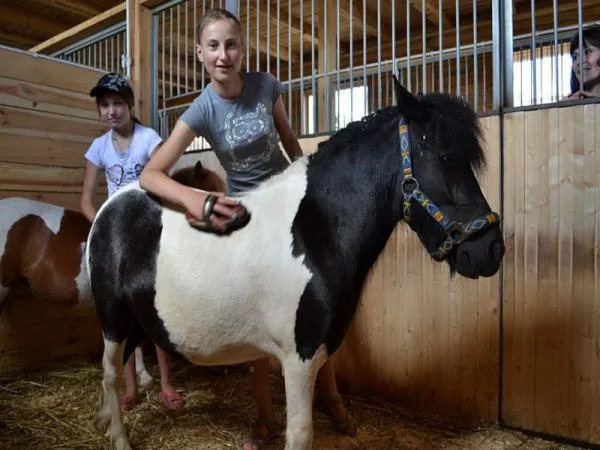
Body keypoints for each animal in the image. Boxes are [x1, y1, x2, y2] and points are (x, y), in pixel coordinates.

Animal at [86, 78, 504, 450]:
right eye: (447, 158)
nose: (491, 250)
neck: (314, 232)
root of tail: (111, 206)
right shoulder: (298, 358)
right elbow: (300, 435)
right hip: (112, 321)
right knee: (109, 374)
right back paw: (118, 437)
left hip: (137, 320)